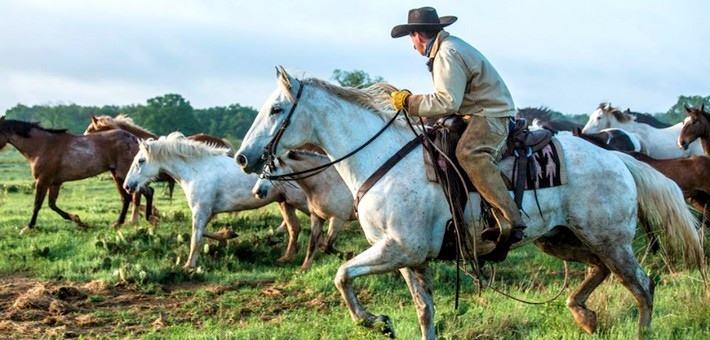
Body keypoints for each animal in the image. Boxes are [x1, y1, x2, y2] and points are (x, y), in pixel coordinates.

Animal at [0, 117, 155, 234]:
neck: (43, 146)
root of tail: (134, 138)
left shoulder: (42, 180)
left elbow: (37, 205)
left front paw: (27, 228)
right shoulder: (55, 182)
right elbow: (52, 205)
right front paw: (79, 221)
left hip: (124, 175)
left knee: (146, 192)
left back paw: (149, 220)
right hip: (118, 175)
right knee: (129, 197)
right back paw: (120, 223)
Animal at [121, 132, 308, 268]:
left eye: (140, 160)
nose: (127, 186)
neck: (197, 171)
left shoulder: (200, 211)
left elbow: (195, 238)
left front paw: (188, 266)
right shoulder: (208, 212)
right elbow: (201, 233)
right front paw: (228, 233)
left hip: (301, 203)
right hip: (285, 203)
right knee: (294, 228)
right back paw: (286, 258)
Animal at [235, 67, 708, 340]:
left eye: (276, 109)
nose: (242, 158)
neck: (381, 157)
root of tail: (618, 158)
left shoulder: (398, 249)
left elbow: (340, 275)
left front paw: (375, 321)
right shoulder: (410, 258)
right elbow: (424, 312)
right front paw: (388, 321)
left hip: (609, 239)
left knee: (641, 285)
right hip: (563, 238)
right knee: (603, 272)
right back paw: (584, 316)